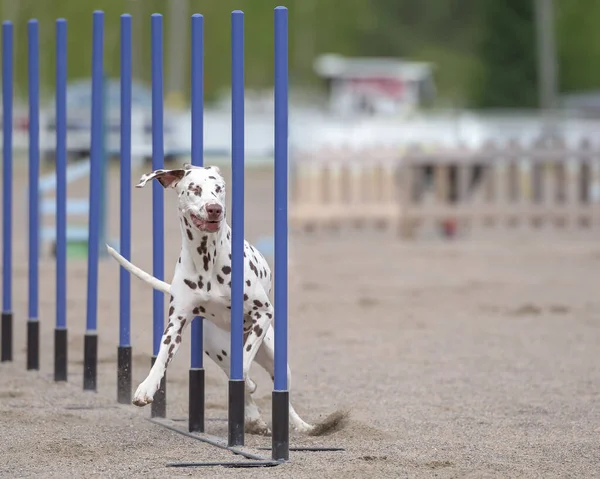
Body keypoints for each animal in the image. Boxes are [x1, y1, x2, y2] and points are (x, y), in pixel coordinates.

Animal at [107, 163, 314, 436]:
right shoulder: (175, 325)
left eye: (219, 188)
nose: (214, 208)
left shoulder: (263, 314)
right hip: (218, 350)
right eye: (194, 189)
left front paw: (249, 382)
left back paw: (301, 425)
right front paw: (147, 387)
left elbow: (244, 365)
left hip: (274, 355)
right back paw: (254, 419)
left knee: (279, 392)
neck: (207, 259)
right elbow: (161, 356)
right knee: (233, 376)